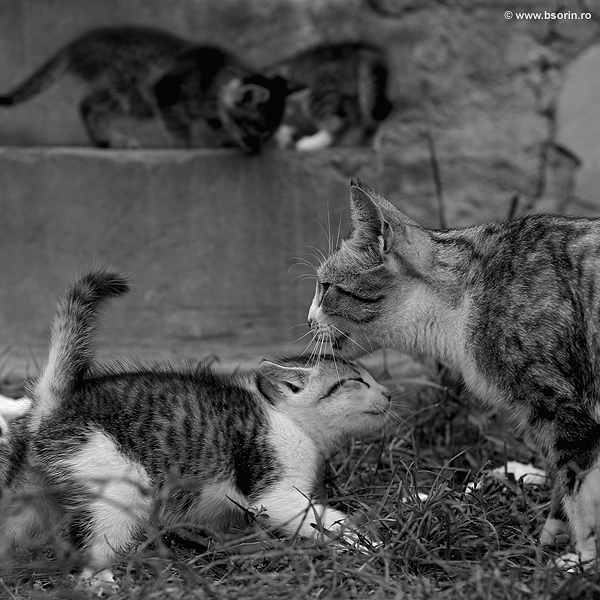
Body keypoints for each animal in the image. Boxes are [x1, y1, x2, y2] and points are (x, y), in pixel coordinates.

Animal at [0, 270, 392, 584]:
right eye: (356, 381)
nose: (388, 393)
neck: (286, 419)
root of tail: (53, 403)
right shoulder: (275, 491)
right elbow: (320, 517)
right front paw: (365, 543)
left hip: (33, 493)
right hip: (119, 482)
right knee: (95, 547)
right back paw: (101, 580)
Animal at [310, 180, 600, 568]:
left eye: (326, 288)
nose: (308, 319)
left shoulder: (567, 413)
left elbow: (578, 488)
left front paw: (582, 559)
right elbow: (564, 482)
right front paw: (552, 538)